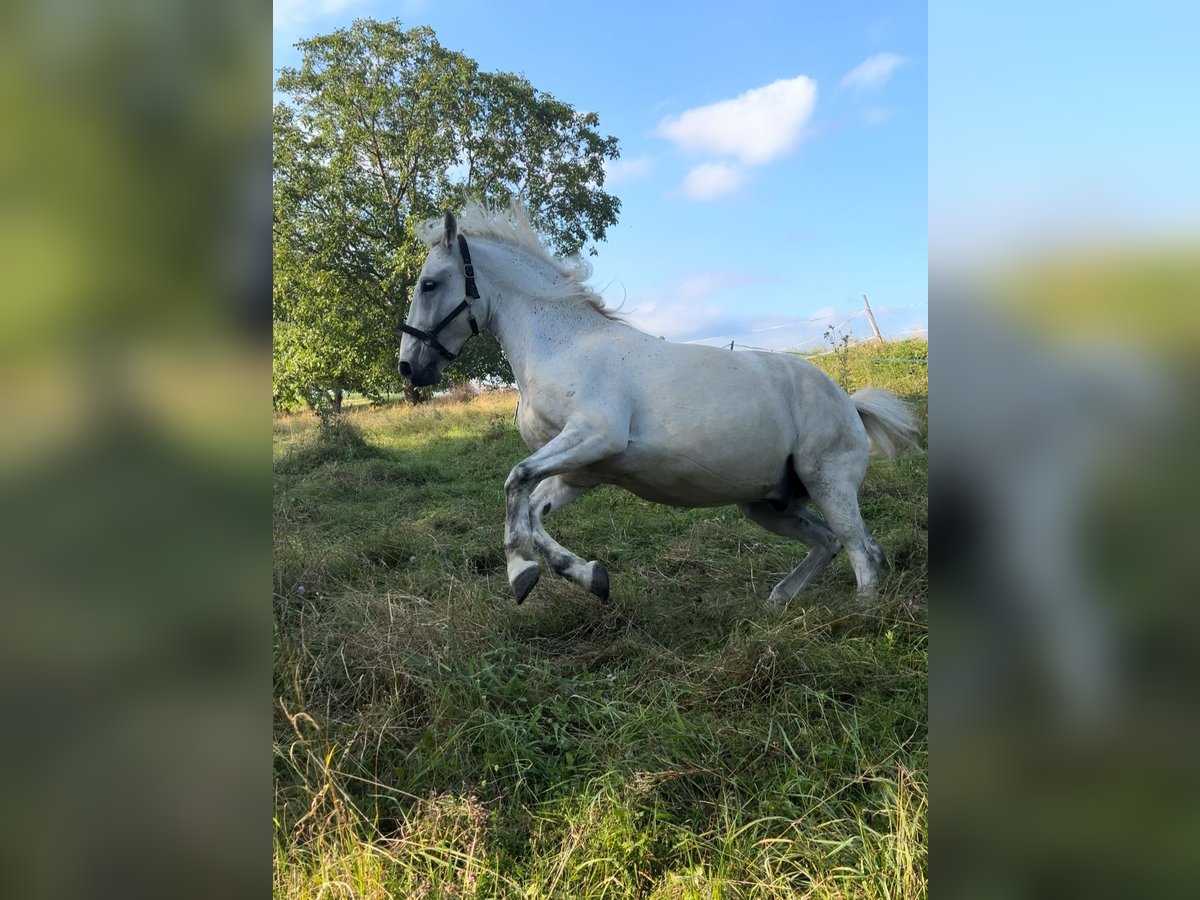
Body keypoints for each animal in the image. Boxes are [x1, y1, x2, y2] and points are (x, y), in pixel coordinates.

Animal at [396, 206, 916, 607]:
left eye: (429, 284)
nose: (409, 367)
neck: (563, 345)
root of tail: (848, 403)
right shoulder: (582, 470)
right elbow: (533, 510)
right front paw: (589, 578)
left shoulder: (594, 436)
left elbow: (515, 481)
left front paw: (521, 572)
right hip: (767, 504)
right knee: (830, 544)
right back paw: (778, 603)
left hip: (828, 483)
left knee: (864, 554)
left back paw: (856, 619)